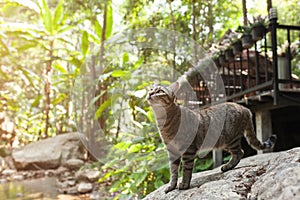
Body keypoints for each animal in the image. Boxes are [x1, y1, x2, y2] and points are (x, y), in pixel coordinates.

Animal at [146, 82, 276, 193]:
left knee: (239, 152)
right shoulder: (172, 151)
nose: (149, 93)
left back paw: (228, 166)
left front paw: (184, 184)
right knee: (240, 152)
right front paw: (171, 186)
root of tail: (244, 108)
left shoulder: (188, 150)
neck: (164, 121)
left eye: (160, 91)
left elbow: (186, 169)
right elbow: (173, 172)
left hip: (230, 140)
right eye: (151, 89)